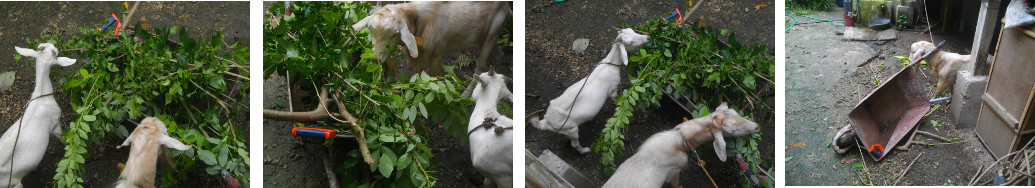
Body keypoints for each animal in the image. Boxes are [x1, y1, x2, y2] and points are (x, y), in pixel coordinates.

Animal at [0, 43, 75, 186]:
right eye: (54, 52)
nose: (54, 45)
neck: (41, 95)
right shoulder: (55, 123)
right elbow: (61, 137)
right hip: (13, 183)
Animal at [353, 1, 511, 76]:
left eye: (394, 34)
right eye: (370, 30)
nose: (375, 59)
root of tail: (508, 7)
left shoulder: (437, 55)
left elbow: (432, 79)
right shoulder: (416, 57)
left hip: (492, 34)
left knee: (480, 67)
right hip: (487, 37)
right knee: (499, 56)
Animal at [600, 102, 761, 188]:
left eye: (735, 112)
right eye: (732, 130)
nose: (757, 126)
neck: (681, 140)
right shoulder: (675, 170)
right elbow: (675, 184)